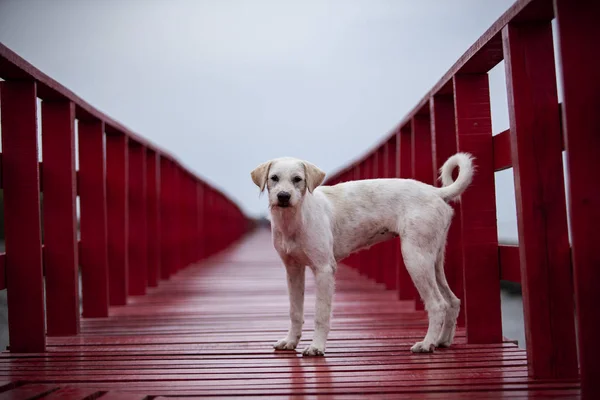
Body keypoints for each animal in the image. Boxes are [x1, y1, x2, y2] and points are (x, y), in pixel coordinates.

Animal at [248, 152, 474, 356]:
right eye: (274, 178)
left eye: (297, 179)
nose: (283, 196)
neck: (295, 219)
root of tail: (436, 192)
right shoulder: (293, 269)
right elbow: (295, 311)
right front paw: (290, 341)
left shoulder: (324, 269)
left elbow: (321, 313)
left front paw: (316, 347)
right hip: (433, 259)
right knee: (453, 301)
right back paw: (442, 341)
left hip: (415, 258)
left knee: (438, 304)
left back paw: (427, 344)